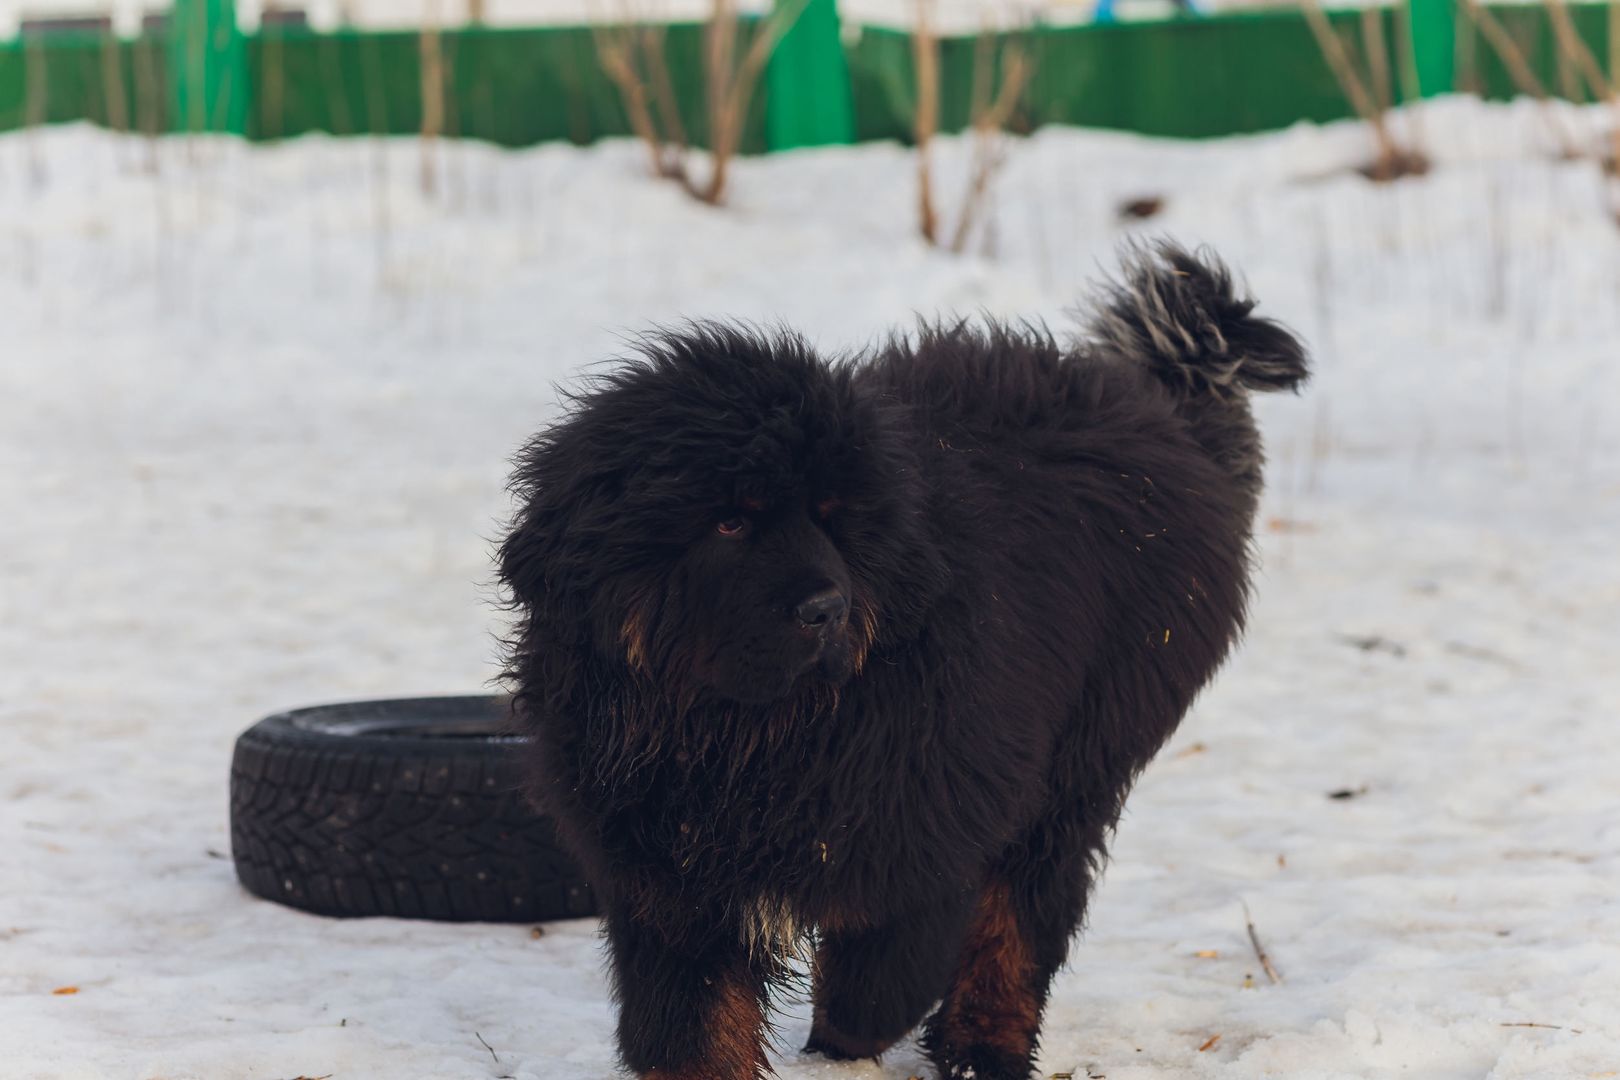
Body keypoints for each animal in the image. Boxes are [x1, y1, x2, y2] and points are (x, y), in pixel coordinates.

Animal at [498, 244, 1308, 1080]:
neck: (739, 734)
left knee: (1018, 917)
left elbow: (883, 963)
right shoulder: (665, 874)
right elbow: (691, 1016)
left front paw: (846, 1041)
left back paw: (982, 1045)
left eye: (831, 516)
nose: (825, 608)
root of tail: (1157, 408)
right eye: (729, 522)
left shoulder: (927, 810)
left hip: (1079, 761)